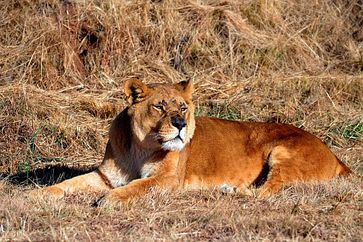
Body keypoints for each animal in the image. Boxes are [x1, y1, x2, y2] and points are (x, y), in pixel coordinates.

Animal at [31, 79, 352, 204]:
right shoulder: (105, 176)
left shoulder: (167, 180)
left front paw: (109, 200)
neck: (140, 148)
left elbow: (136, 187)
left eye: (183, 107)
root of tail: (335, 156)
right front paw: (39, 194)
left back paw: (232, 190)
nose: (180, 125)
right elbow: (69, 183)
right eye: (160, 106)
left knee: (268, 191)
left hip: (282, 152)